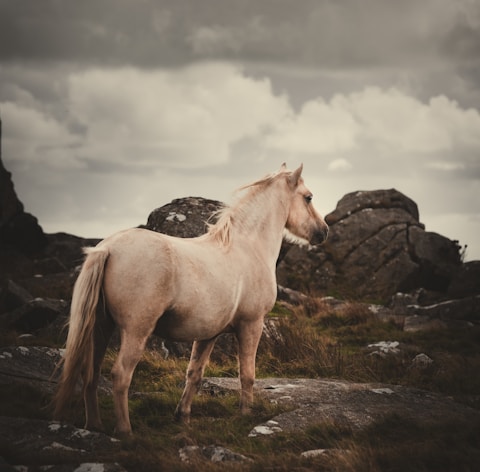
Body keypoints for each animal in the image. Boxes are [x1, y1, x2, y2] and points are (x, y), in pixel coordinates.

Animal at [53, 163, 330, 436]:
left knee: (91, 372)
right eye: (308, 197)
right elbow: (247, 375)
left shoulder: (208, 334)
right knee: (121, 375)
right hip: (136, 331)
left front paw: (183, 417)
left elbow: (194, 374)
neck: (247, 247)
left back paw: (95, 426)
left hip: (101, 327)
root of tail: (107, 248)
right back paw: (125, 431)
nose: (323, 231)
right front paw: (245, 415)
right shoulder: (252, 324)